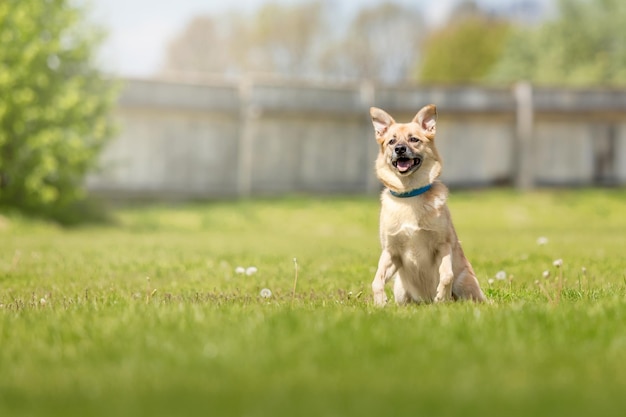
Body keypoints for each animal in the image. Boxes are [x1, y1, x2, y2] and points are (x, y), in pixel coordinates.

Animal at [368, 104, 486, 306]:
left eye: (414, 139)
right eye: (391, 141)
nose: (399, 149)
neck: (409, 194)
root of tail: (424, 301)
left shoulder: (443, 245)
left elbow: (446, 275)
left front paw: (442, 297)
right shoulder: (391, 252)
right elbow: (377, 280)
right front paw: (380, 302)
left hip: (466, 281)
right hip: (401, 290)